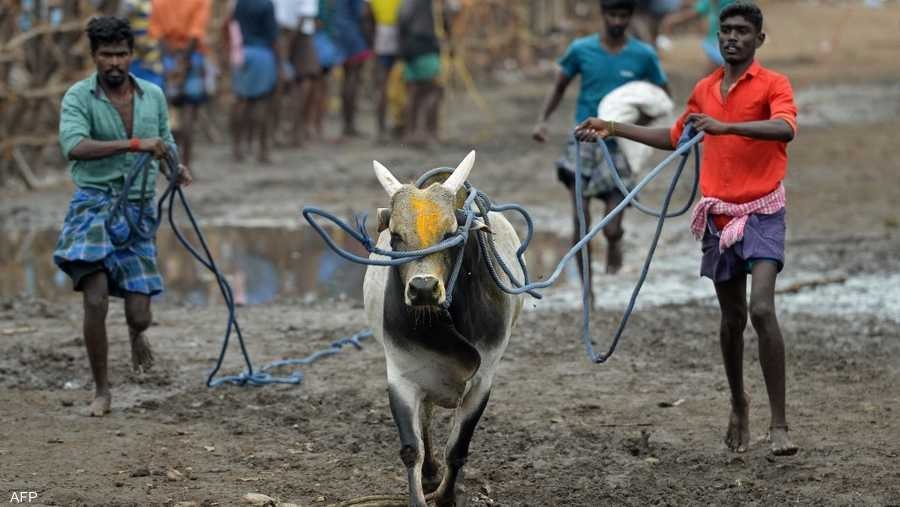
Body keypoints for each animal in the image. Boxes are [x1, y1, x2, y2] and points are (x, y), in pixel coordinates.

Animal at [362, 152, 524, 507]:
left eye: (450, 233)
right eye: (396, 235)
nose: (423, 288)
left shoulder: (482, 380)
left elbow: (458, 450)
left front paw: (447, 497)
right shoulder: (401, 375)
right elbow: (412, 449)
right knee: (425, 419)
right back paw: (430, 472)